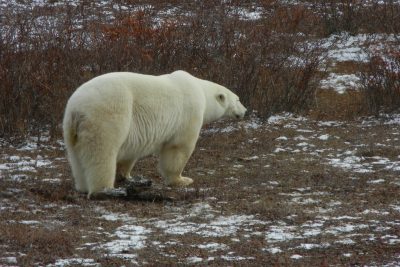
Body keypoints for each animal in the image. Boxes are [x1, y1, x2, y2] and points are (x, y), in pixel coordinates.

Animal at [62, 71, 247, 199]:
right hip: (107, 114)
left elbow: (129, 151)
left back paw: (83, 186)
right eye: (238, 99)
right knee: (102, 153)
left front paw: (129, 176)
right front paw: (182, 180)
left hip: (71, 129)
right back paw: (107, 190)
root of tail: (77, 109)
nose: (245, 110)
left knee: (77, 157)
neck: (200, 90)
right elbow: (178, 148)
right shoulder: (189, 114)